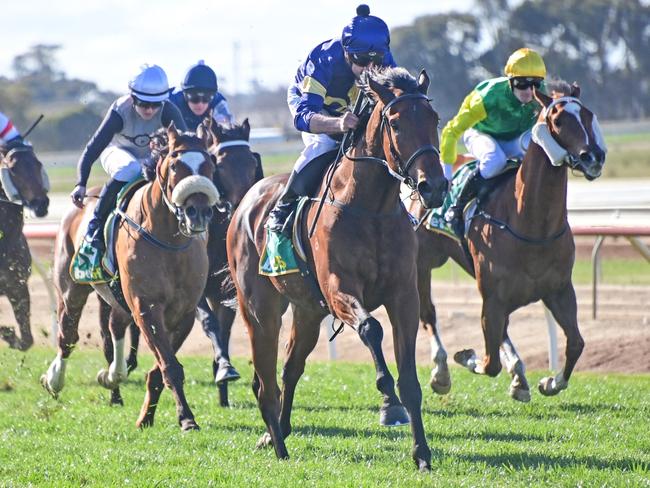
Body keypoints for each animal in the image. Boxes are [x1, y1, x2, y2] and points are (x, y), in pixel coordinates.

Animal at [40, 125, 218, 430]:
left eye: (209, 164)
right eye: (174, 165)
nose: (198, 212)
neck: (167, 240)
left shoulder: (183, 313)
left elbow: (161, 367)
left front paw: (148, 415)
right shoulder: (146, 307)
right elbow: (170, 366)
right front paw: (186, 417)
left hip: (117, 299)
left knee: (114, 328)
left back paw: (112, 377)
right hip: (71, 289)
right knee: (68, 336)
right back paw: (54, 380)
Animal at [227, 66, 446, 470]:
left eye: (434, 118)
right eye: (395, 123)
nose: (434, 186)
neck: (370, 207)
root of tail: (245, 203)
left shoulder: (403, 296)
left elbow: (410, 379)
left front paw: (421, 453)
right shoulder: (338, 289)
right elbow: (371, 328)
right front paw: (389, 405)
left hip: (307, 312)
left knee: (290, 369)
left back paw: (278, 432)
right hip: (260, 310)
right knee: (265, 382)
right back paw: (278, 446)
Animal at [408, 84, 604, 402]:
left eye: (588, 114)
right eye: (559, 120)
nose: (594, 157)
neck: (531, 225)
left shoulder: (559, 290)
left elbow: (576, 343)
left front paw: (549, 382)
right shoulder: (493, 298)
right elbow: (489, 363)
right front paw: (466, 357)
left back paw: (519, 377)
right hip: (422, 263)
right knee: (427, 314)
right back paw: (441, 372)